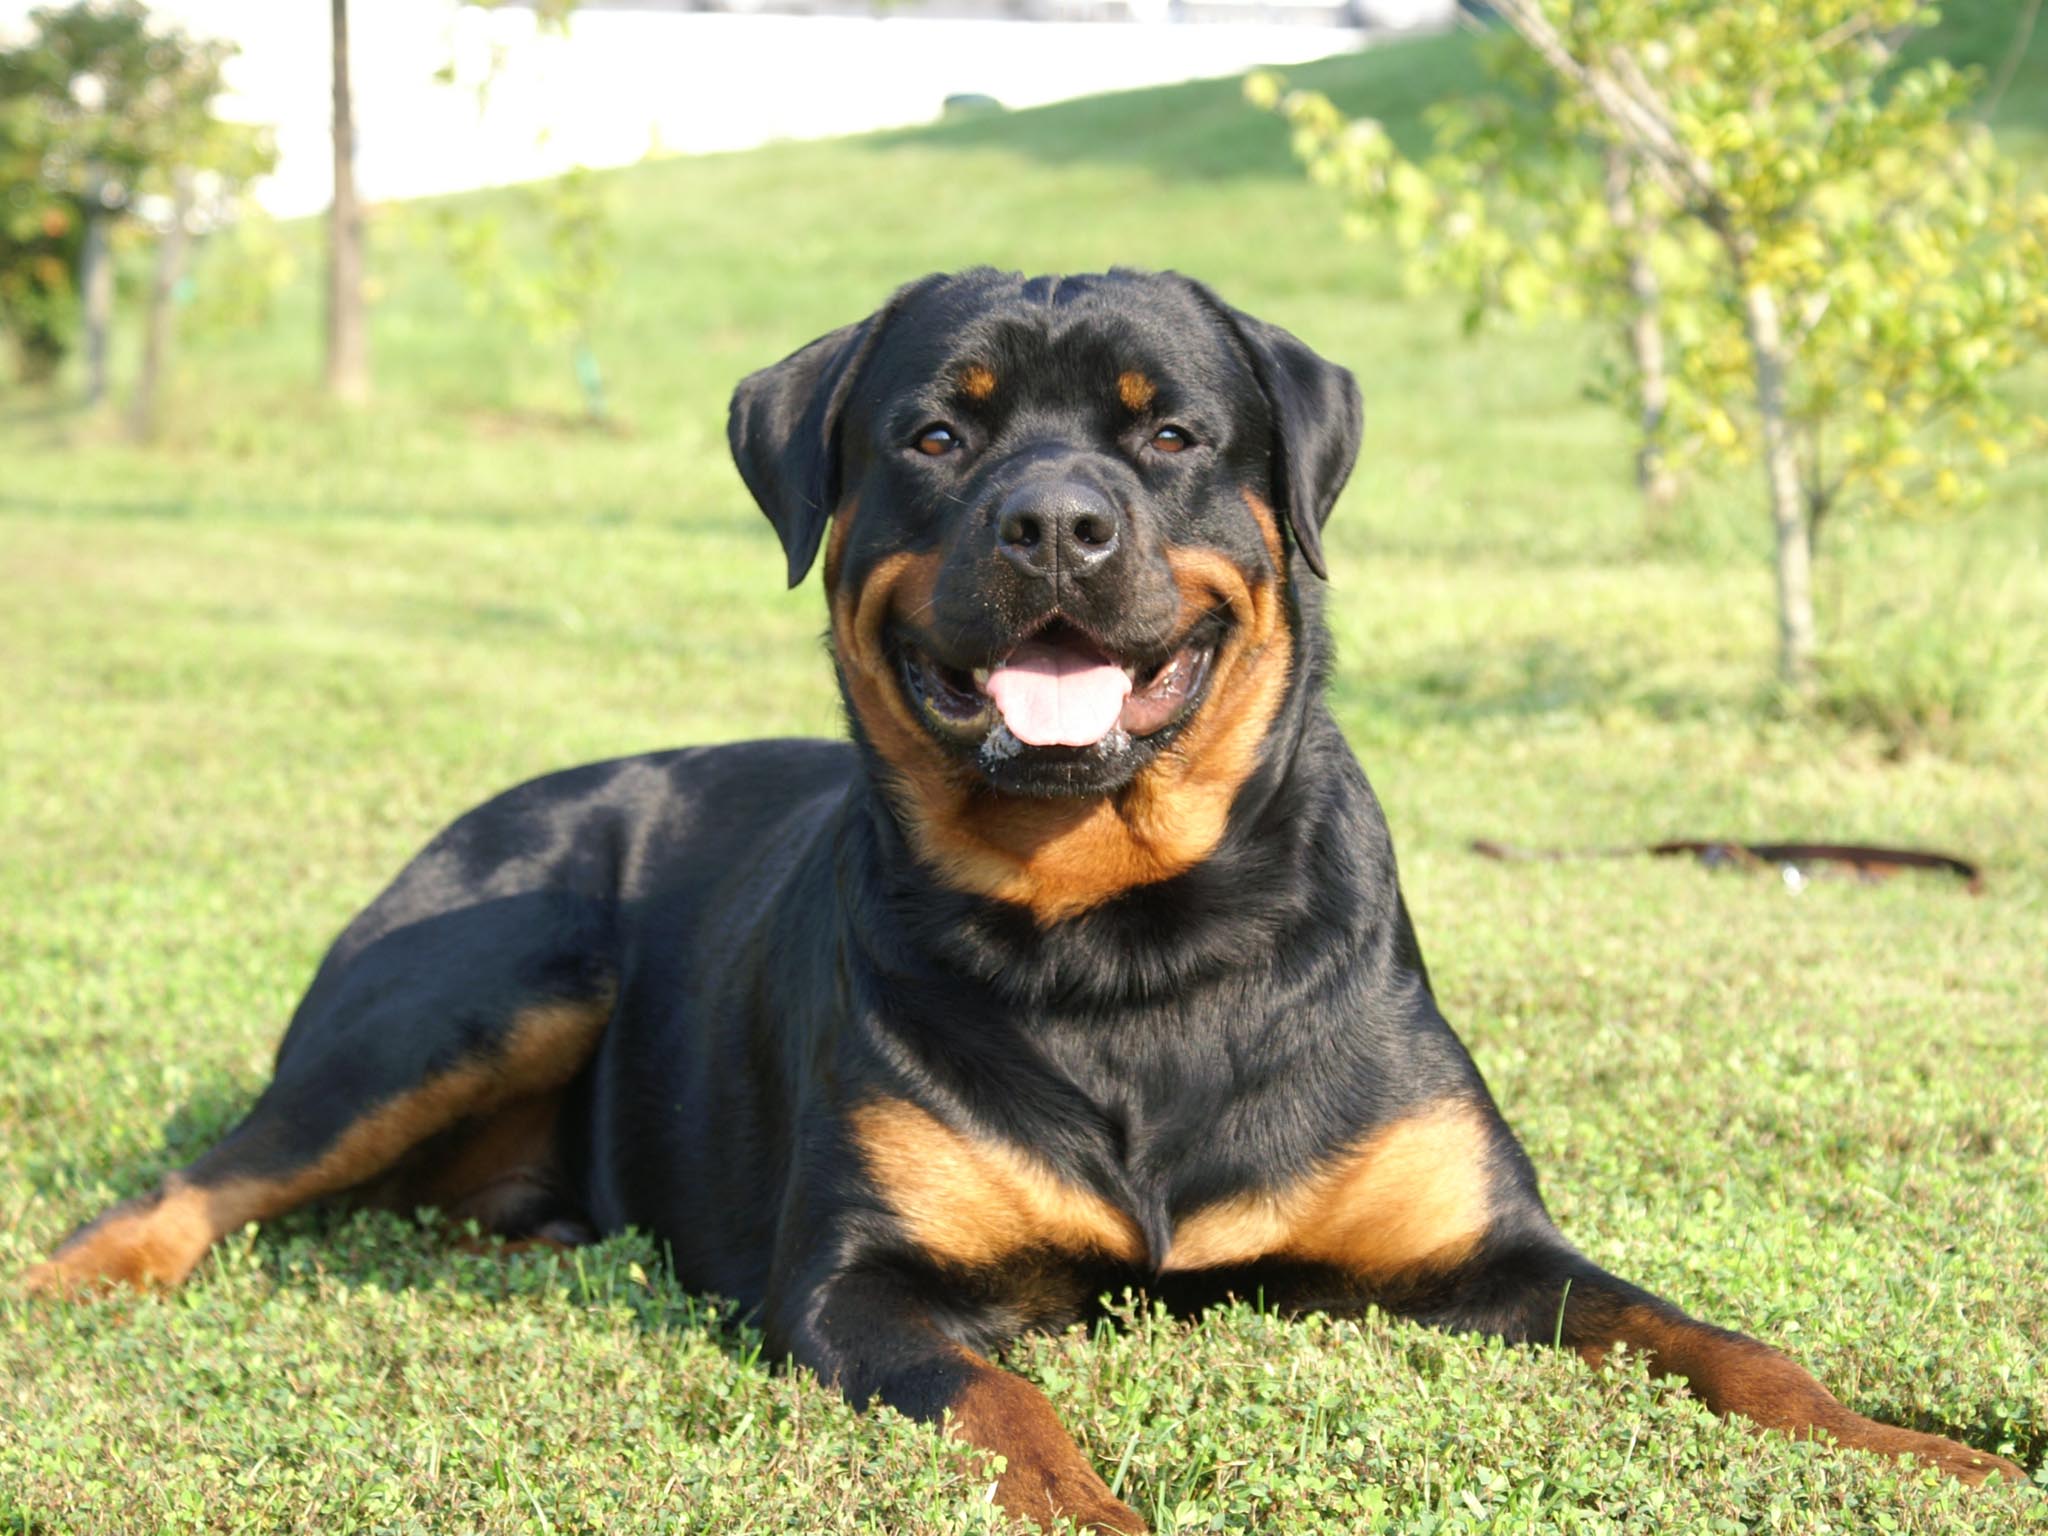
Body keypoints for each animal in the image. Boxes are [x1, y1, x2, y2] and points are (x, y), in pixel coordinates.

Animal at [24, 270, 2023, 1531]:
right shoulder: (863, 1290)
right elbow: (1011, 1411)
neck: (1130, 933)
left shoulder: (1487, 1255)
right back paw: (67, 1283)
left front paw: (1923, 1452)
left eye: (1169, 435)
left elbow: (1730, 1347)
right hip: (485, 968)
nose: (1054, 524)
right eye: (934, 434)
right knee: (205, 1178)